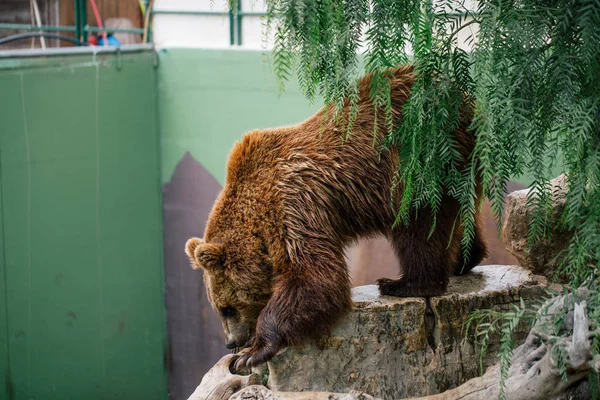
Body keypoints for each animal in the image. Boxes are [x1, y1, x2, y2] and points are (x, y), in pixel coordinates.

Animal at [186, 65, 488, 368]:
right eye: (219, 308)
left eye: (227, 308)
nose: (231, 342)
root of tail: (467, 101)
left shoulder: (294, 205)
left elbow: (316, 277)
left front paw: (252, 352)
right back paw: (463, 260)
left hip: (418, 164)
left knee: (419, 228)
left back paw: (401, 283)